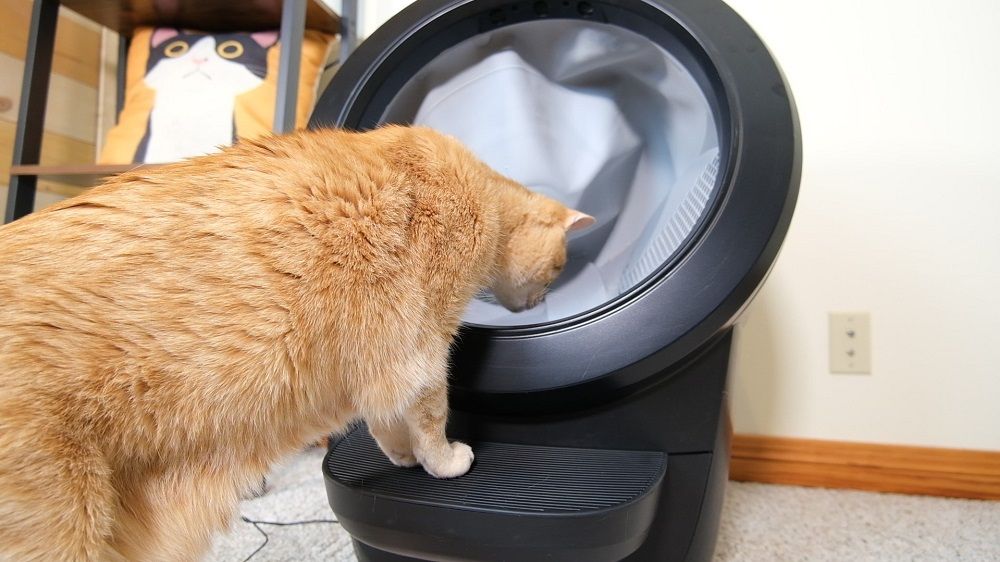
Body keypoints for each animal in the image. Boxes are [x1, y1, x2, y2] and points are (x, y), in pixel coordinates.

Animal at [0, 124, 592, 556]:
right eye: (557, 268)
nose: (537, 303)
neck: (483, 197)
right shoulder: (422, 353)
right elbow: (430, 421)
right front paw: (443, 461)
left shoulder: (381, 367)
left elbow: (385, 424)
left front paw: (402, 458)